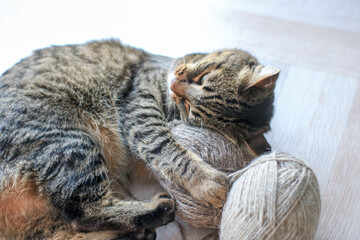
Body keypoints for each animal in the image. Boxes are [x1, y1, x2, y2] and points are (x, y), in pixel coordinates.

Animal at [0, 39, 278, 238]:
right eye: (203, 77)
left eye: (189, 107)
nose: (175, 83)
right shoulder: (140, 105)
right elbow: (165, 146)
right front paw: (207, 182)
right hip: (71, 143)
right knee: (84, 212)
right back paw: (156, 211)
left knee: (78, 221)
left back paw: (138, 231)